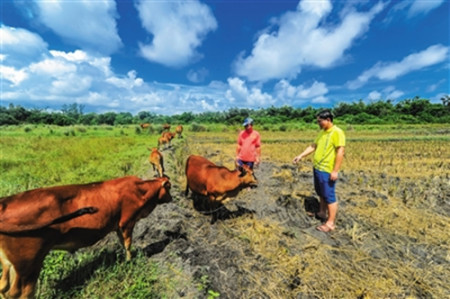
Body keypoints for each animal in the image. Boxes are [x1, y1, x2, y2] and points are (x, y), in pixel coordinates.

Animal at [0, 177, 172, 298]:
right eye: (169, 187)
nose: (172, 198)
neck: (140, 189)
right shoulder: (127, 222)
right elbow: (128, 244)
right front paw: (130, 261)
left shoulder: (119, 225)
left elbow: (123, 244)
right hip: (29, 264)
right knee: (21, 292)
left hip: (10, 264)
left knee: (4, 287)